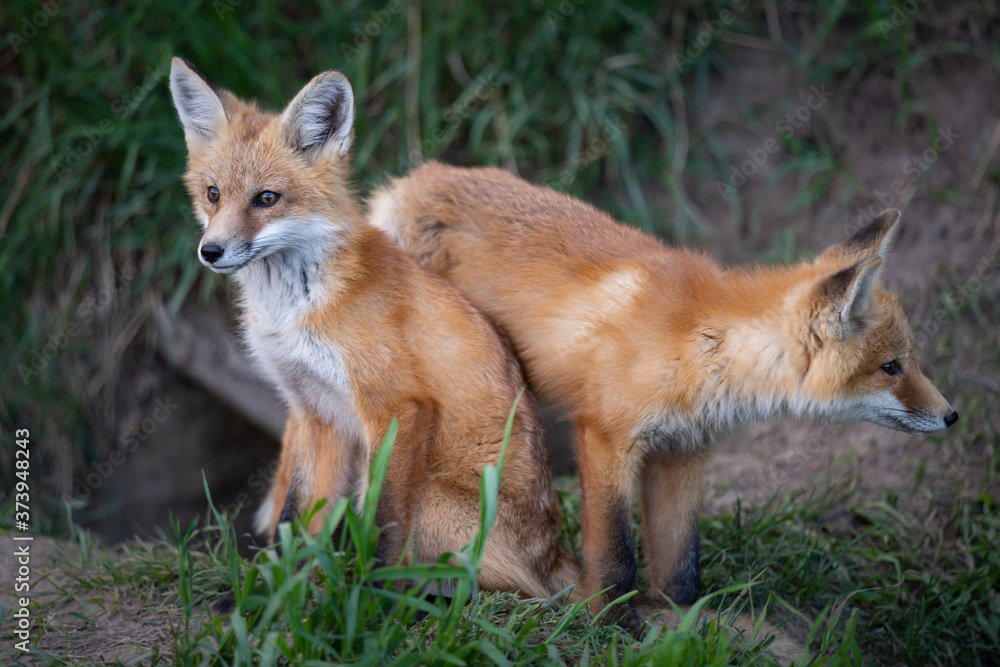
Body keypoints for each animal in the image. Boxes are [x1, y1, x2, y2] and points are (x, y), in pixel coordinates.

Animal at [168, 58, 580, 600]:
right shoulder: (316, 412)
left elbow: (385, 523)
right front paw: (275, 593)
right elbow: (296, 517)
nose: (210, 251)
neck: (296, 310)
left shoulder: (398, 408)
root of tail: (558, 555)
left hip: (430, 496)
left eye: (266, 199)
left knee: (507, 589)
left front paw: (375, 597)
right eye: (212, 194)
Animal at [370, 162, 960, 632]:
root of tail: (420, 176)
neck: (703, 349)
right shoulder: (606, 438)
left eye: (912, 362)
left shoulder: (683, 452)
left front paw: (681, 627)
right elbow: (616, 554)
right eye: (891, 368)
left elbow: (681, 567)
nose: (951, 416)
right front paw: (613, 626)